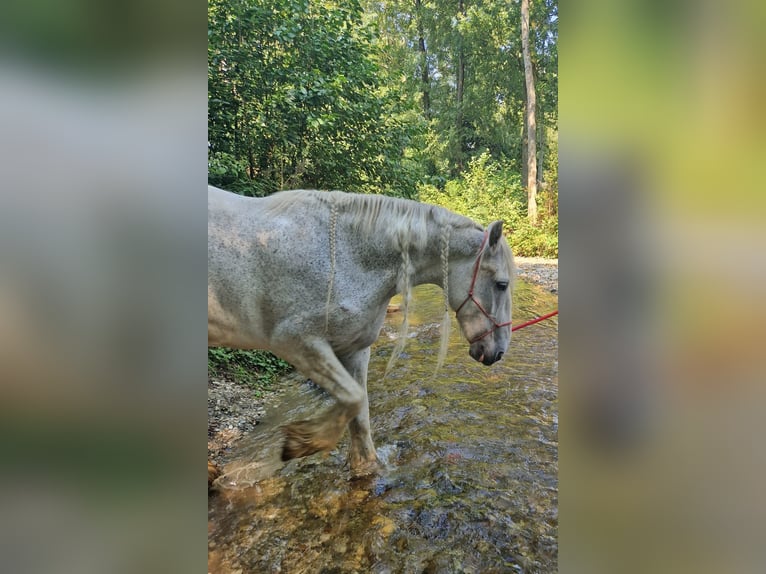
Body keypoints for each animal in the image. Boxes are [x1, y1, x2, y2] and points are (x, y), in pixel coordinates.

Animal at [208, 185, 515, 476]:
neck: (345, 255)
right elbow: (353, 398)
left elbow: (360, 415)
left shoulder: (354, 350)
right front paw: (302, 442)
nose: (499, 352)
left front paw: (364, 468)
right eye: (501, 284)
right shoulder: (297, 341)